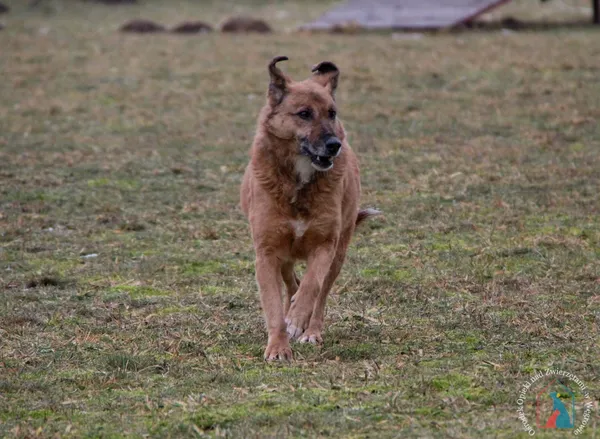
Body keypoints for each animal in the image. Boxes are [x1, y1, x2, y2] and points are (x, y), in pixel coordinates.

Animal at [240, 57, 378, 360]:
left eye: (332, 113)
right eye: (304, 113)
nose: (334, 145)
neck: (298, 182)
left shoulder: (325, 245)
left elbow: (312, 285)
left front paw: (297, 319)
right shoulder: (267, 252)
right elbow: (274, 305)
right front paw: (278, 347)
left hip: (340, 251)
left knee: (320, 292)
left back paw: (311, 330)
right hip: (284, 254)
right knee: (291, 280)